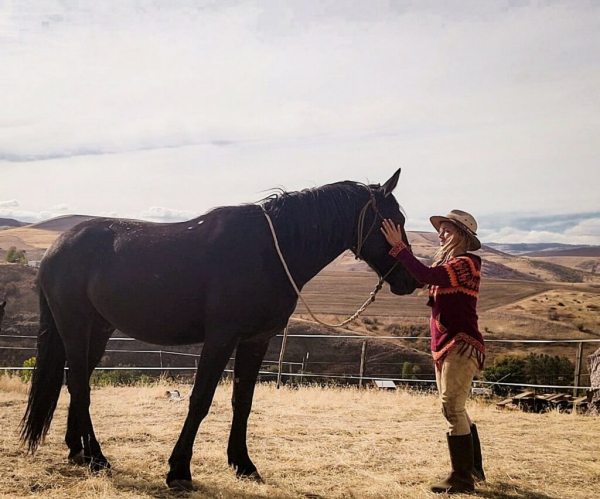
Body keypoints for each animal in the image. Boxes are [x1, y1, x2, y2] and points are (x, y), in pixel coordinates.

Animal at [19, 170, 418, 490]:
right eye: (394, 219)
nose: (410, 280)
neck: (271, 251)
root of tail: (55, 249)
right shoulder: (220, 339)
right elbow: (200, 400)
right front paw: (179, 471)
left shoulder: (257, 341)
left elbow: (243, 402)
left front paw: (244, 465)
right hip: (75, 327)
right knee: (80, 385)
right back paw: (97, 457)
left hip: (98, 332)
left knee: (76, 381)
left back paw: (79, 452)